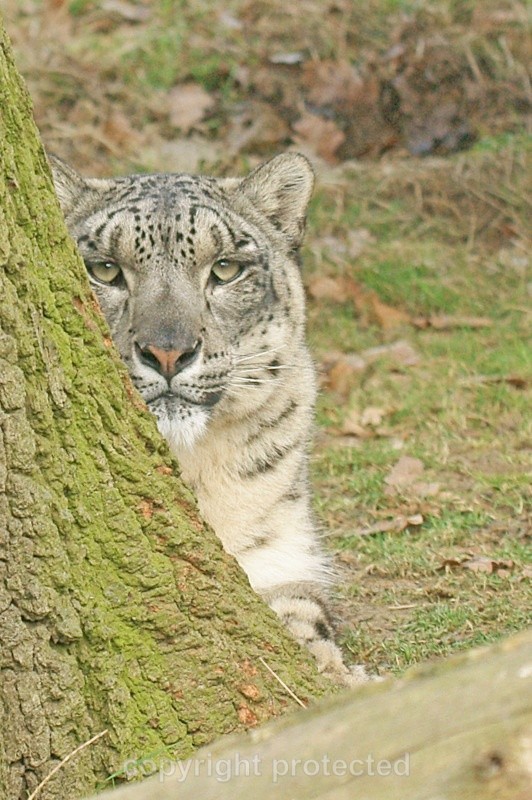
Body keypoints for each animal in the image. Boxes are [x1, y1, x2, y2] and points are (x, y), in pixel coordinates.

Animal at [50, 152, 369, 686]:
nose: (168, 352)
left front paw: (336, 673)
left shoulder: (279, 551)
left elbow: (301, 613)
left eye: (225, 268)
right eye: (105, 269)